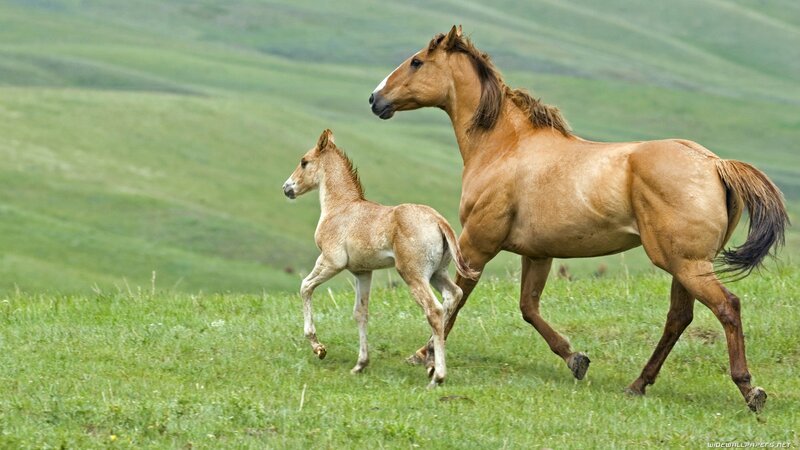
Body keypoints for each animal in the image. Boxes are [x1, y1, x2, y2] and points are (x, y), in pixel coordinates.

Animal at [282, 129, 479, 387]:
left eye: (304, 161)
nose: (287, 188)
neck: (341, 207)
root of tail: (439, 221)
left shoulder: (331, 262)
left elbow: (305, 287)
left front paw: (318, 348)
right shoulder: (362, 272)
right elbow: (360, 313)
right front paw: (360, 365)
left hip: (413, 275)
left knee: (434, 310)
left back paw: (437, 376)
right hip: (438, 273)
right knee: (453, 295)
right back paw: (429, 360)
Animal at [368, 26, 788, 411]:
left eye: (417, 61)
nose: (375, 99)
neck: (503, 147)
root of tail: (715, 163)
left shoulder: (477, 243)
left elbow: (456, 299)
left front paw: (423, 355)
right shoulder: (537, 253)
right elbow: (528, 308)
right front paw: (576, 359)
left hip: (686, 264)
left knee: (727, 307)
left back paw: (749, 389)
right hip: (684, 264)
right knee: (679, 318)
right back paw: (638, 384)